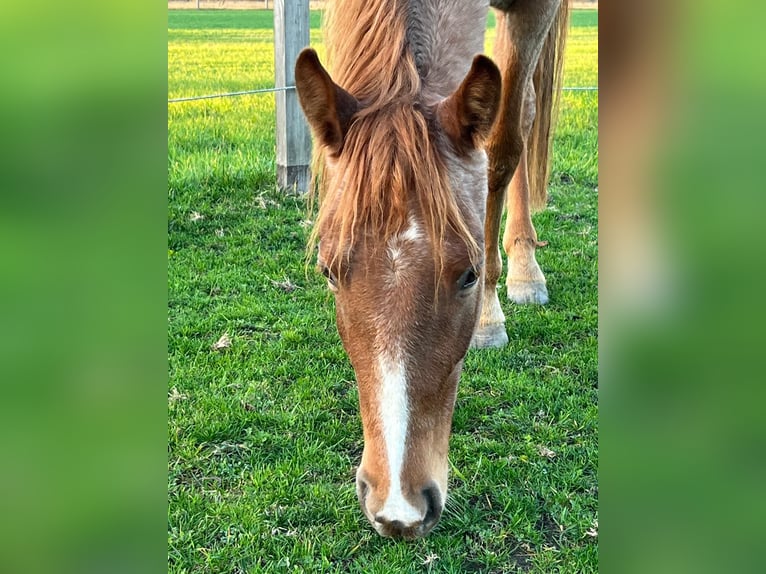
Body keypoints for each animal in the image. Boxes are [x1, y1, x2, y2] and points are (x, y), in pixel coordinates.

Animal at [294, 0, 568, 540]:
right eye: (329, 272)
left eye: (470, 274)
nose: (398, 509)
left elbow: (504, 145)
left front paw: (489, 315)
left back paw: (526, 268)